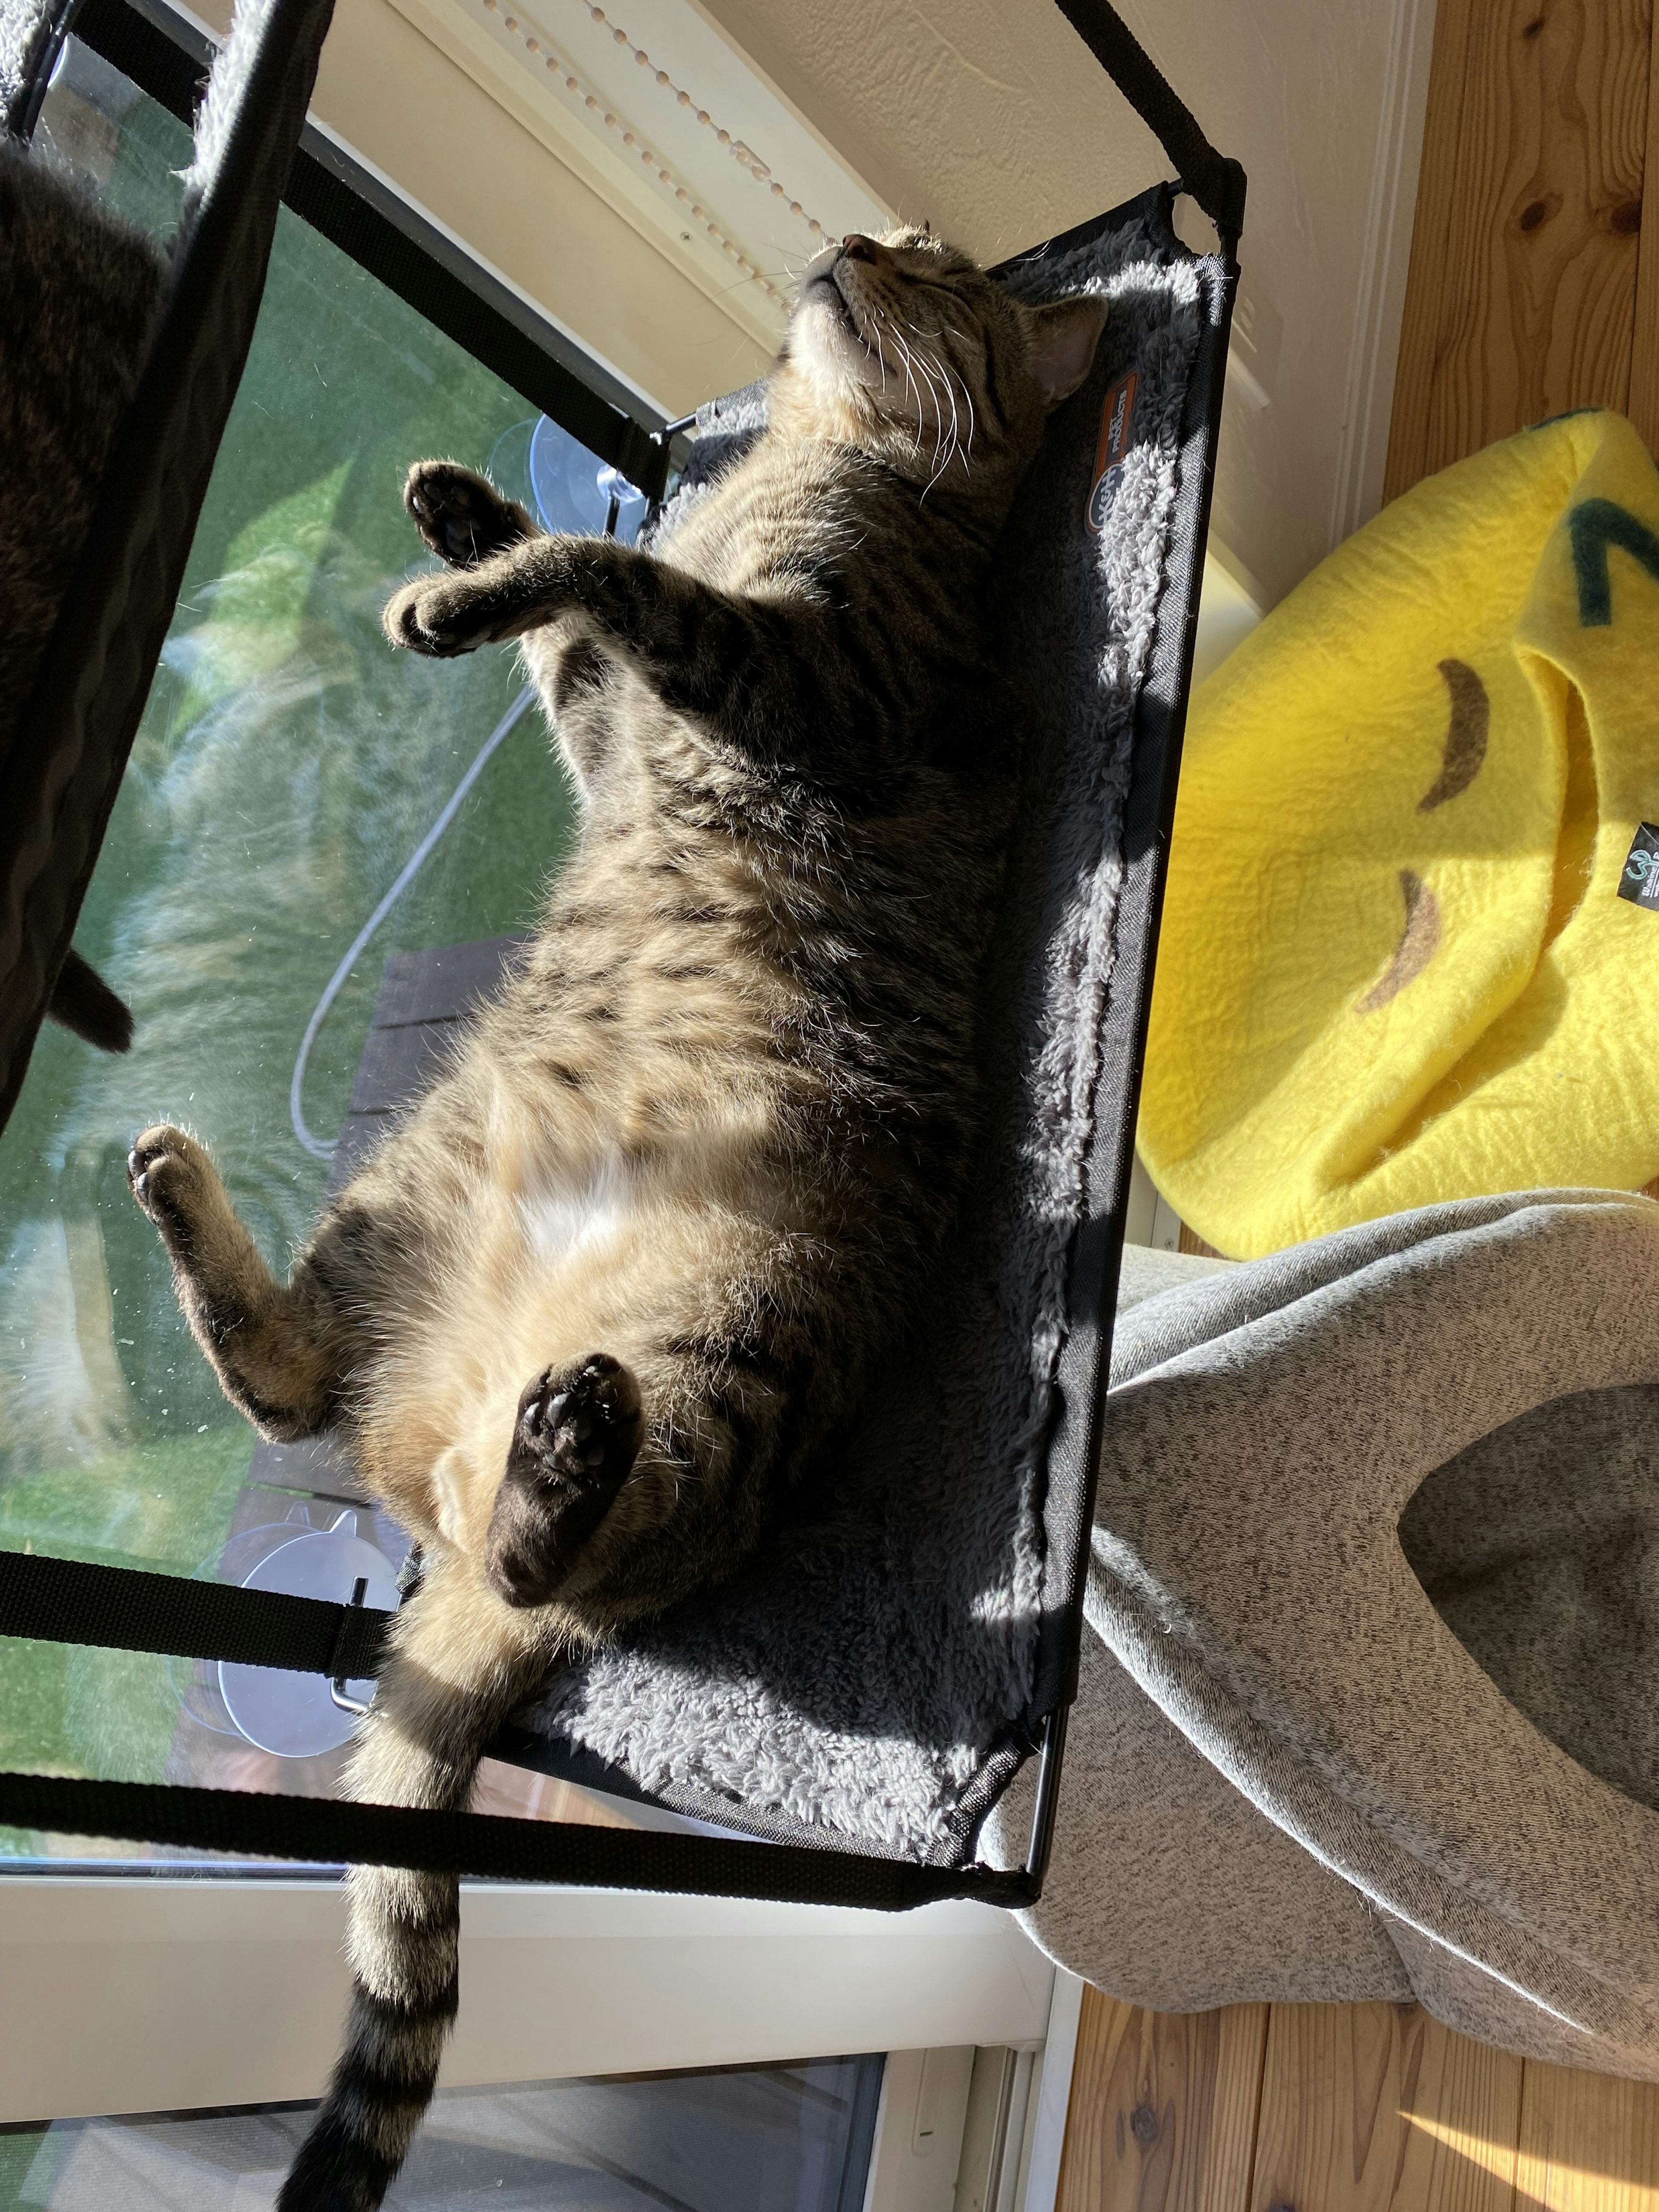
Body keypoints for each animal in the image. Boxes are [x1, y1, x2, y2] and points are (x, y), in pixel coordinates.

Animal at [130, 229, 1106, 2212]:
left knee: (537, 1547)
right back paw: (205, 1206)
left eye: (939, 268)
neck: (823, 462)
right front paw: (463, 516)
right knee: (306, 1393)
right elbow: (575, 627)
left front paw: (477, 574)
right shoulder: (616, 720)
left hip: (724, 1354)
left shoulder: (813, 673)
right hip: (410, 1183)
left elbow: (615, 579)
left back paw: (564, 1450)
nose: (856, 239)